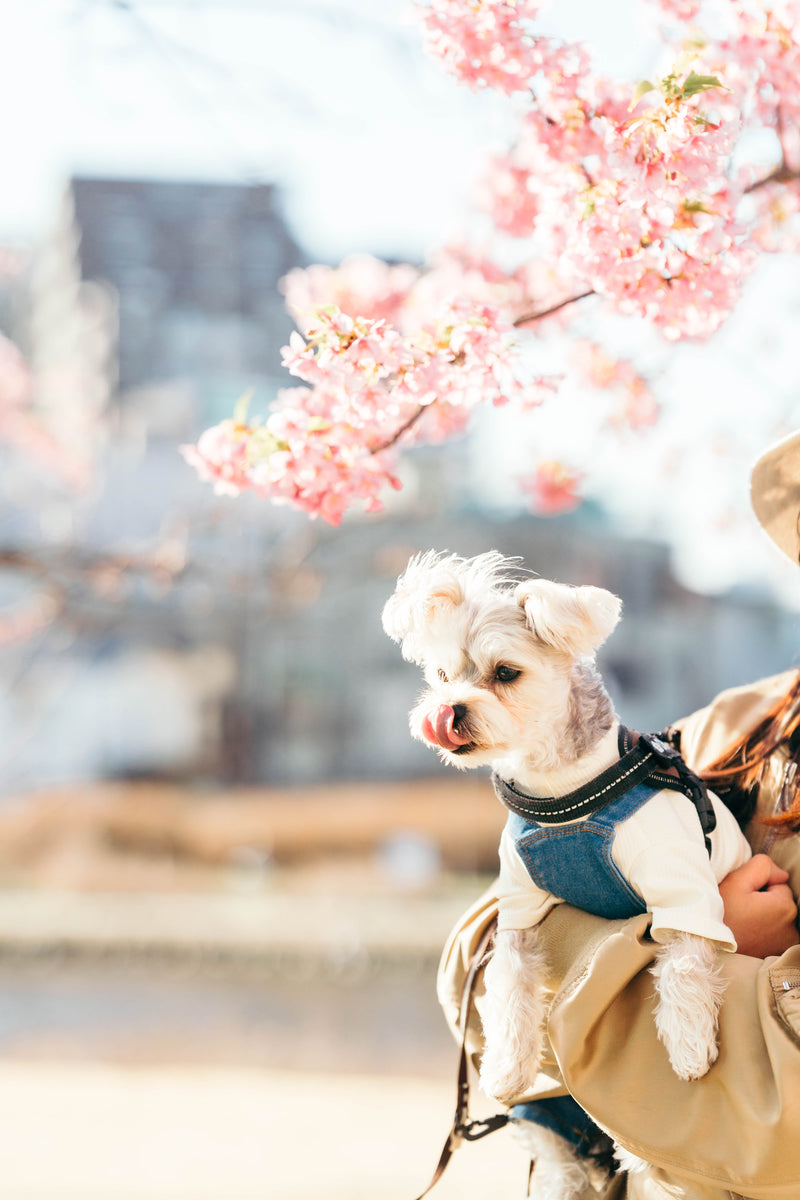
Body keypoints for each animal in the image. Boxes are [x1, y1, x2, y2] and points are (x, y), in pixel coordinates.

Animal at [383, 552, 753, 1200]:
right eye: (442, 673)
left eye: (506, 672)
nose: (446, 711)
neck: (563, 796)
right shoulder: (517, 913)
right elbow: (509, 990)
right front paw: (506, 1067)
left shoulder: (684, 892)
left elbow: (684, 966)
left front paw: (687, 1045)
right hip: (554, 1133)